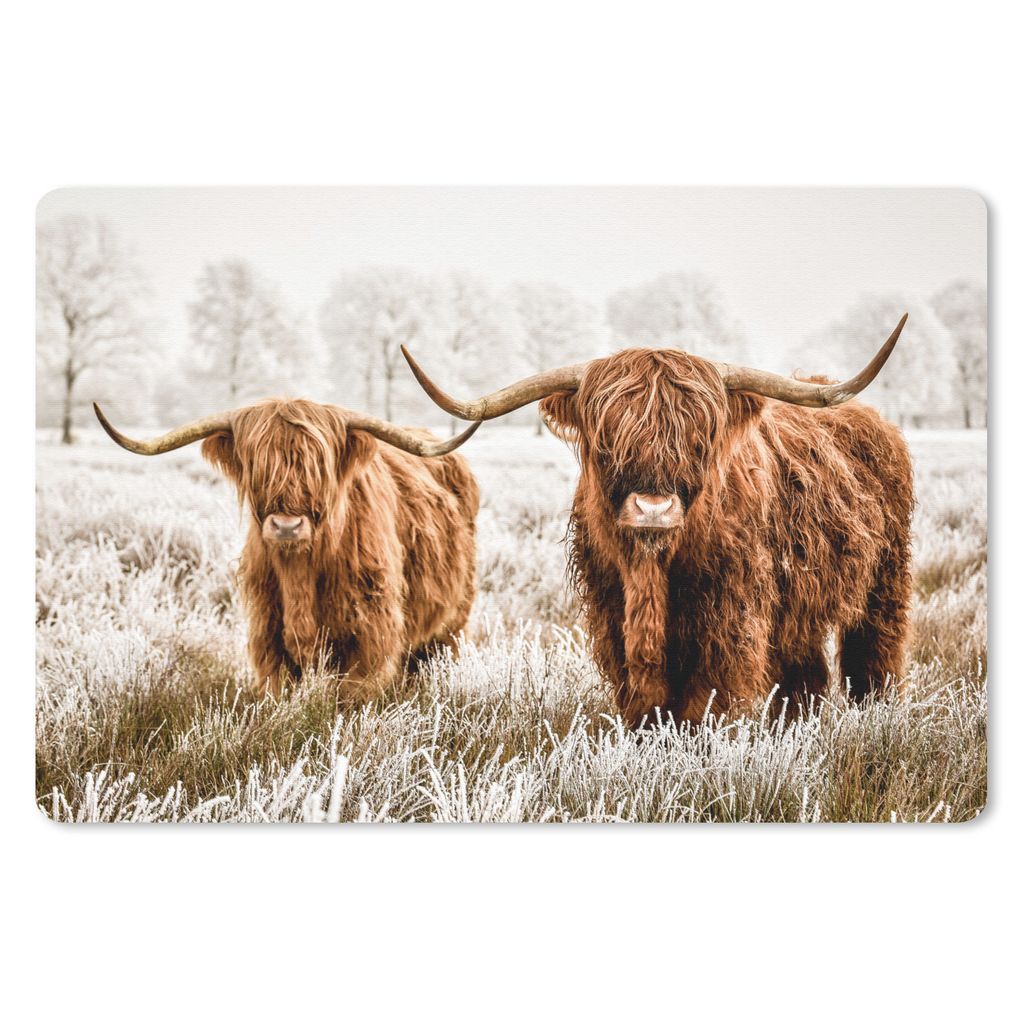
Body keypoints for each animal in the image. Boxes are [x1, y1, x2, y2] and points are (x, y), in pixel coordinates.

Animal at [94, 399, 481, 699]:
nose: (286, 526)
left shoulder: (370, 635)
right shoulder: (268, 635)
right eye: (257, 466)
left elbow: (353, 696)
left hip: (452, 622)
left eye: (318, 466)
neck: (300, 575)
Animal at [402, 316, 913, 727]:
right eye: (607, 439)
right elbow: (643, 703)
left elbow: (703, 704)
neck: (652, 571)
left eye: (698, 438)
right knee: (805, 675)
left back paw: (876, 715)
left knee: (873, 656)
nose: (653, 509)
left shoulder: (730, 620)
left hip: (885, 581)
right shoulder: (612, 614)